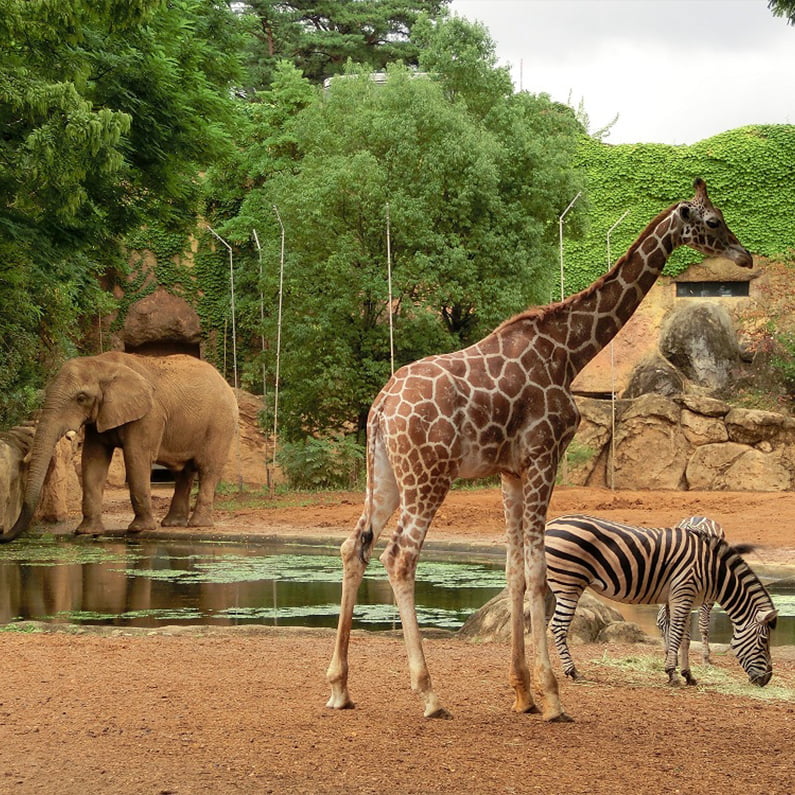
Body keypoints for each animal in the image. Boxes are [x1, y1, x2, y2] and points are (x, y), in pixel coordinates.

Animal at [0, 352, 238, 544]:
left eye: (81, 398)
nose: (3, 534)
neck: (101, 363)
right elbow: (93, 461)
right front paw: (86, 532)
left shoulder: (149, 415)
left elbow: (136, 457)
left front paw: (138, 530)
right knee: (183, 473)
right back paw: (172, 524)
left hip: (220, 424)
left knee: (207, 468)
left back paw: (198, 524)